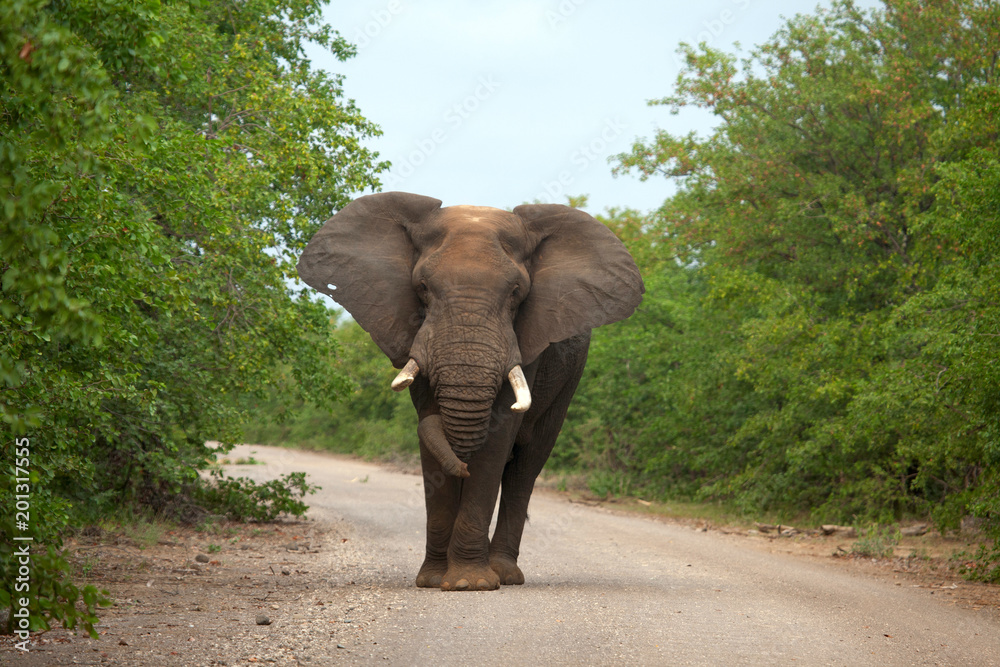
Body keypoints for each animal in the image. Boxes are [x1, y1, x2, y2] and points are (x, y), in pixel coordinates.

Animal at [297, 191, 643, 591]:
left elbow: (496, 437)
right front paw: (435, 580)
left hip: (570, 379)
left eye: (516, 292)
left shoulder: (526, 341)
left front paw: (468, 583)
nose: (461, 466)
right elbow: (434, 438)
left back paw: (505, 574)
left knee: (526, 466)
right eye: (423, 288)